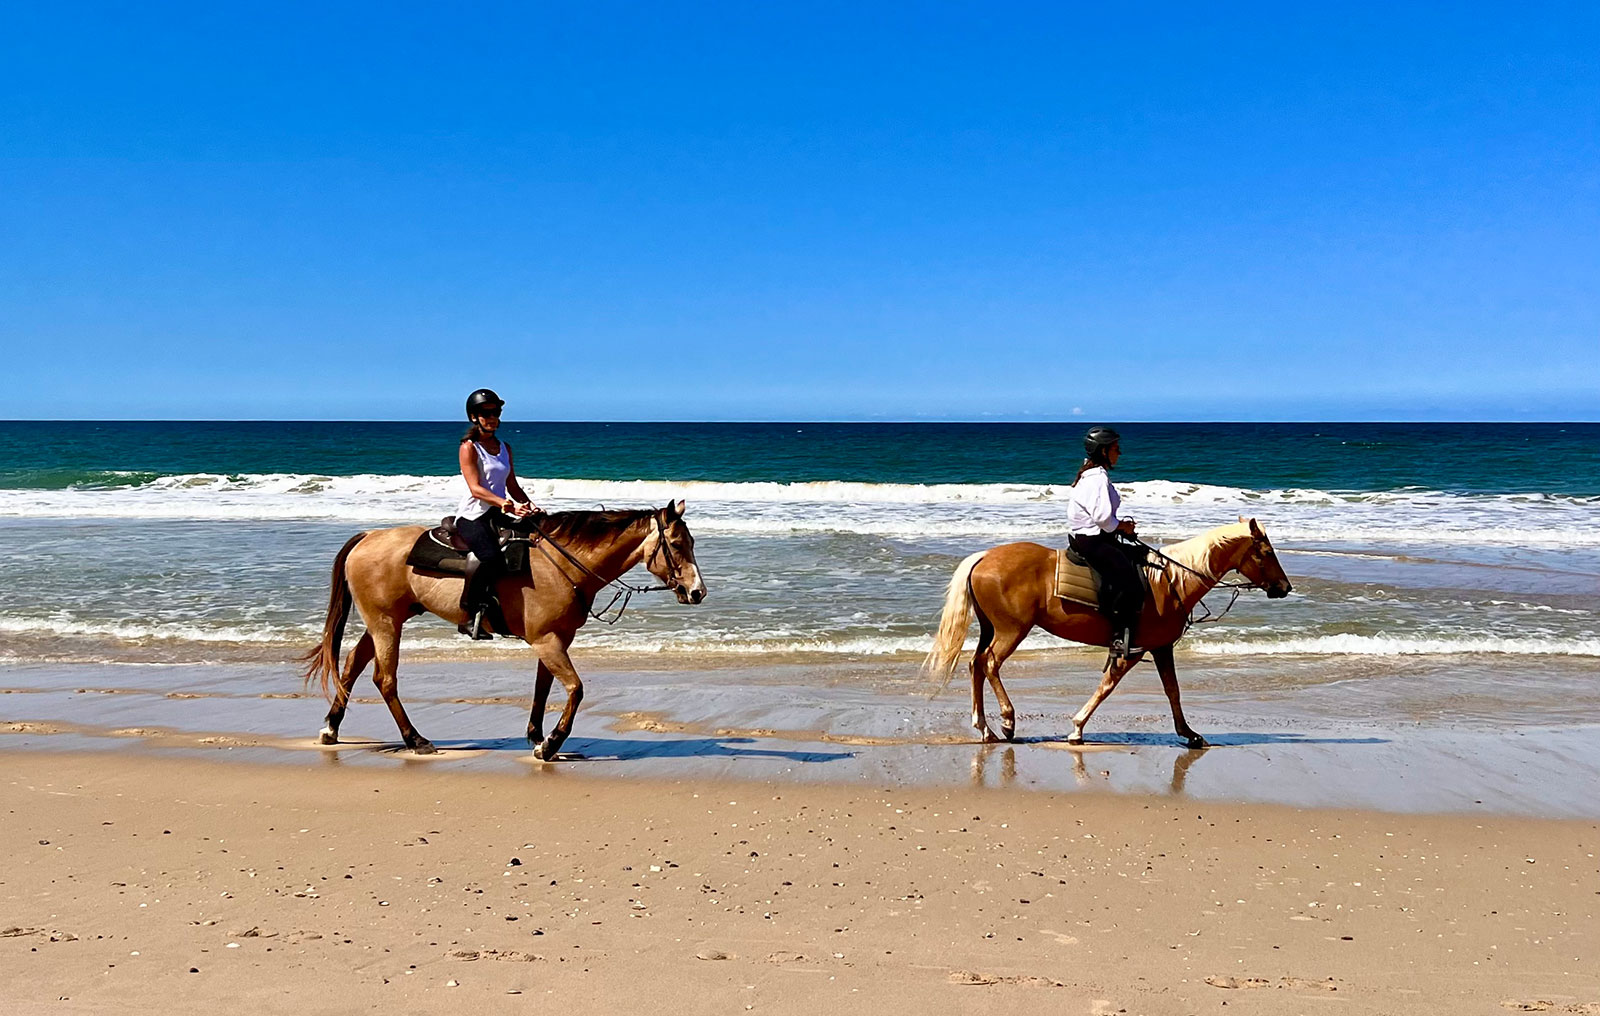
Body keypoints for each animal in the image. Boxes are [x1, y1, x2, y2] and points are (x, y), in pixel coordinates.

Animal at [302, 502, 704, 755]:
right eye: (677, 543)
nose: (697, 591)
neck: (561, 564)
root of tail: (369, 536)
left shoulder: (555, 641)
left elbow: (544, 689)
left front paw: (536, 736)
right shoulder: (547, 642)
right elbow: (575, 690)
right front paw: (551, 744)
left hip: (385, 621)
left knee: (352, 665)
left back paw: (331, 728)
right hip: (386, 624)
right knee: (384, 680)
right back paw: (415, 740)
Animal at [928, 521, 1286, 752]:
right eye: (1266, 552)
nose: (1284, 587)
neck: (1170, 581)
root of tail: (984, 557)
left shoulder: (1160, 647)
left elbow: (1173, 691)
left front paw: (1190, 734)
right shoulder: (1133, 649)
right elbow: (1107, 686)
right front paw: (1076, 728)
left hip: (992, 628)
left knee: (975, 664)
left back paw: (984, 727)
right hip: (1011, 630)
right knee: (990, 664)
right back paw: (1006, 721)